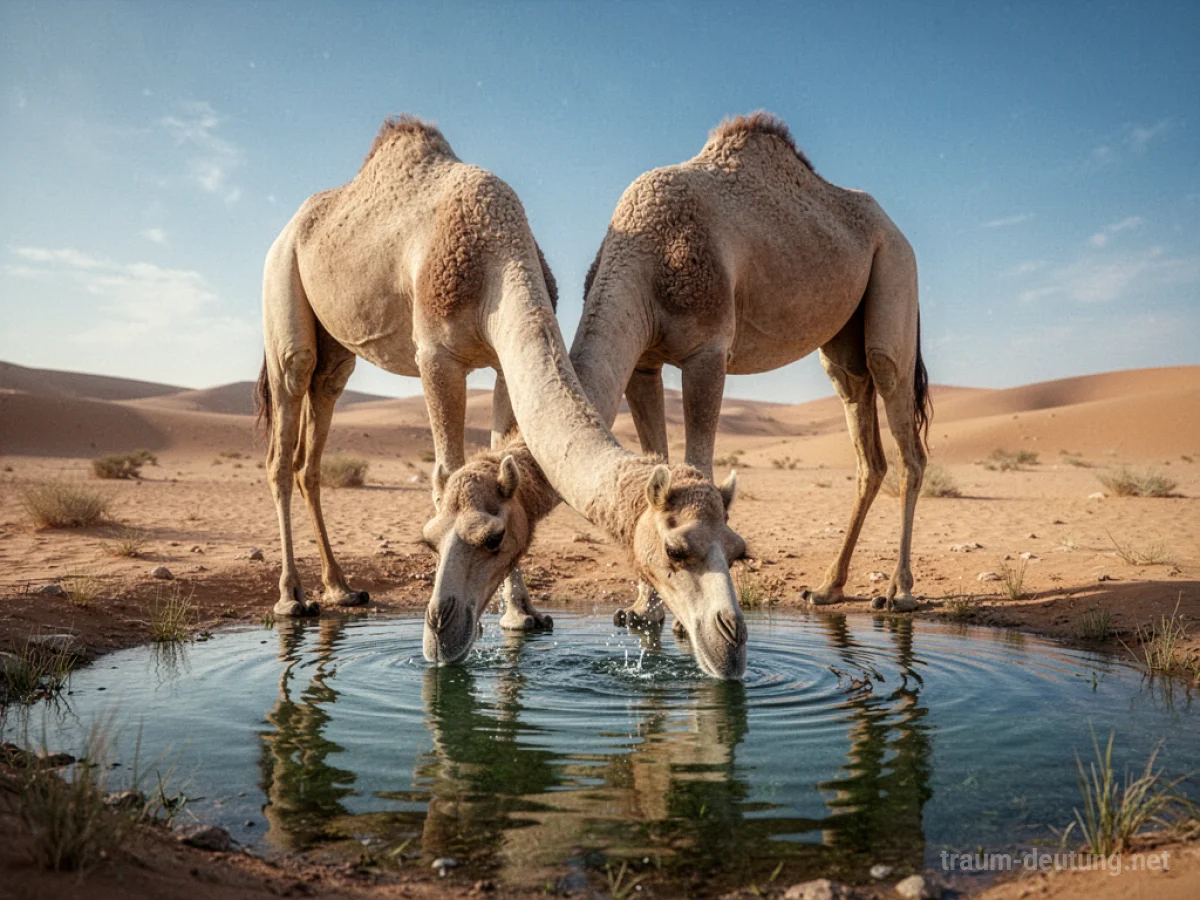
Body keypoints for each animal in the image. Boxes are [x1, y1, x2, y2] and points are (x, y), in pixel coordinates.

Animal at [256, 115, 557, 629]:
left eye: (498, 537)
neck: (497, 242)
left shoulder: (503, 360)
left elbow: (501, 455)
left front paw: (521, 613)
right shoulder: (436, 354)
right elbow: (447, 471)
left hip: (336, 353)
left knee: (311, 448)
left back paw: (341, 588)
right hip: (281, 282)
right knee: (287, 416)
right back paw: (292, 597)